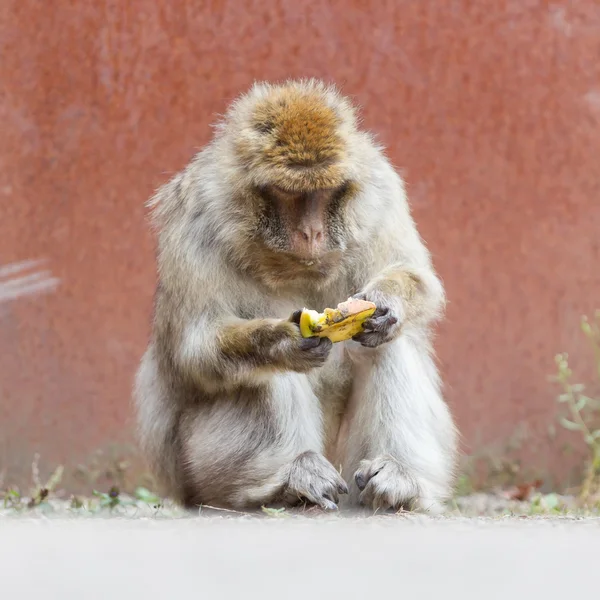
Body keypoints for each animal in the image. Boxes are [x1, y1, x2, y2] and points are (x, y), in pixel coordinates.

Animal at [132, 77, 460, 512]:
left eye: (324, 193)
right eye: (291, 194)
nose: (311, 232)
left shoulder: (379, 191)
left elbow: (419, 279)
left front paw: (387, 303)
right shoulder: (197, 220)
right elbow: (197, 348)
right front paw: (281, 341)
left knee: (384, 345)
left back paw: (398, 478)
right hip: (198, 469)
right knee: (261, 372)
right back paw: (291, 477)